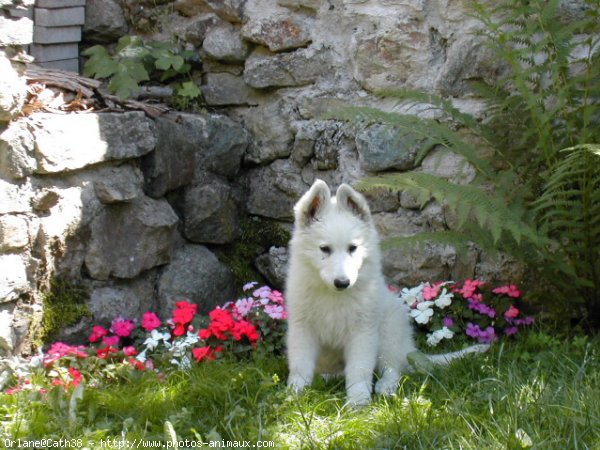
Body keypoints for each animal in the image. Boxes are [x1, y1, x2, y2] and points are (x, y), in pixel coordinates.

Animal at [286, 180, 488, 408]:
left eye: (353, 248)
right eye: (324, 249)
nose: (343, 283)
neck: (333, 295)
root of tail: (407, 347)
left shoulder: (363, 331)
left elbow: (359, 369)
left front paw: (358, 401)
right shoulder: (302, 328)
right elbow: (300, 364)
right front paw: (295, 394)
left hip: (388, 333)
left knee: (393, 368)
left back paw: (386, 386)